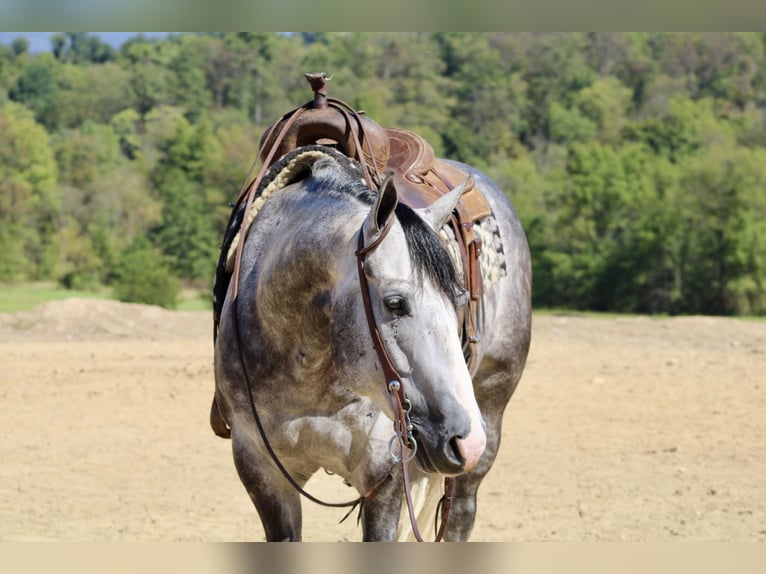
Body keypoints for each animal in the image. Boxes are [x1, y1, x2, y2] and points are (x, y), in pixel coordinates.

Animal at [213, 146, 532, 544]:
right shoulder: (261, 469)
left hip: (490, 410)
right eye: (395, 302)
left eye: (460, 299)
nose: (466, 441)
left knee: (460, 514)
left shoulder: (385, 474)